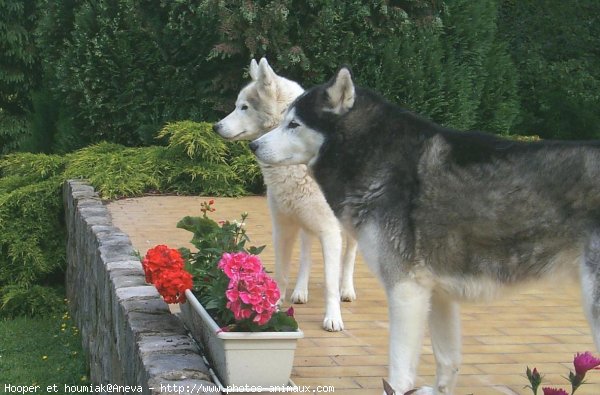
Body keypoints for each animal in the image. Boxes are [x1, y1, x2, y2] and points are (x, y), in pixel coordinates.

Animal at [214, 58, 358, 332]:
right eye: (237, 106)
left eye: (244, 107)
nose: (215, 127)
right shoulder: (283, 227)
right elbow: (282, 272)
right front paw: (272, 307)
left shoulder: (329, 231)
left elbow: (330, 282)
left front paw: (333, 318)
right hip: (304, 222)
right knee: (306, 256)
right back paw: (300, 291)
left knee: (348, 258)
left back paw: (347, 289)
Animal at [251, 69, 600, 395]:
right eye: (284, 120)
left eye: (294, 124)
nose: (254, 146)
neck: (375, 153)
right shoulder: (438, 293)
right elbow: (447, 362)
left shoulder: (406, 291)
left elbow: (398, 375)